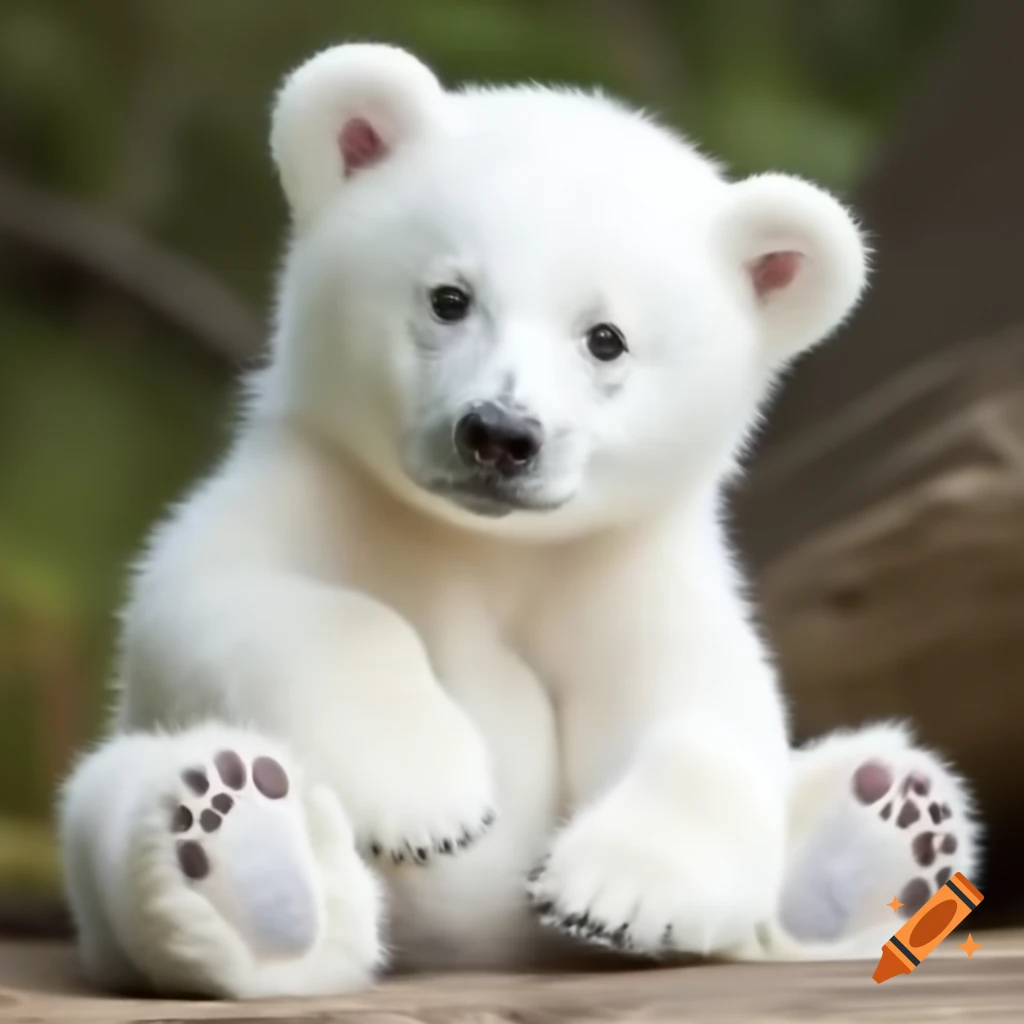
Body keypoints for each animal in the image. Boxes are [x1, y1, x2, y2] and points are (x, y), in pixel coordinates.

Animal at [58, 43, 979, 999]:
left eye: (605, 337)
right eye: (450, 297)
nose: (500, 434)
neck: (491, 545)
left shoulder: (620, 569)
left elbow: (701, 713)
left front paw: (618, 891)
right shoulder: (308, 496)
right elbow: (228, 597)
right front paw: (430, 797)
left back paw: (880, 829)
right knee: (130, 793)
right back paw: (246, 861)